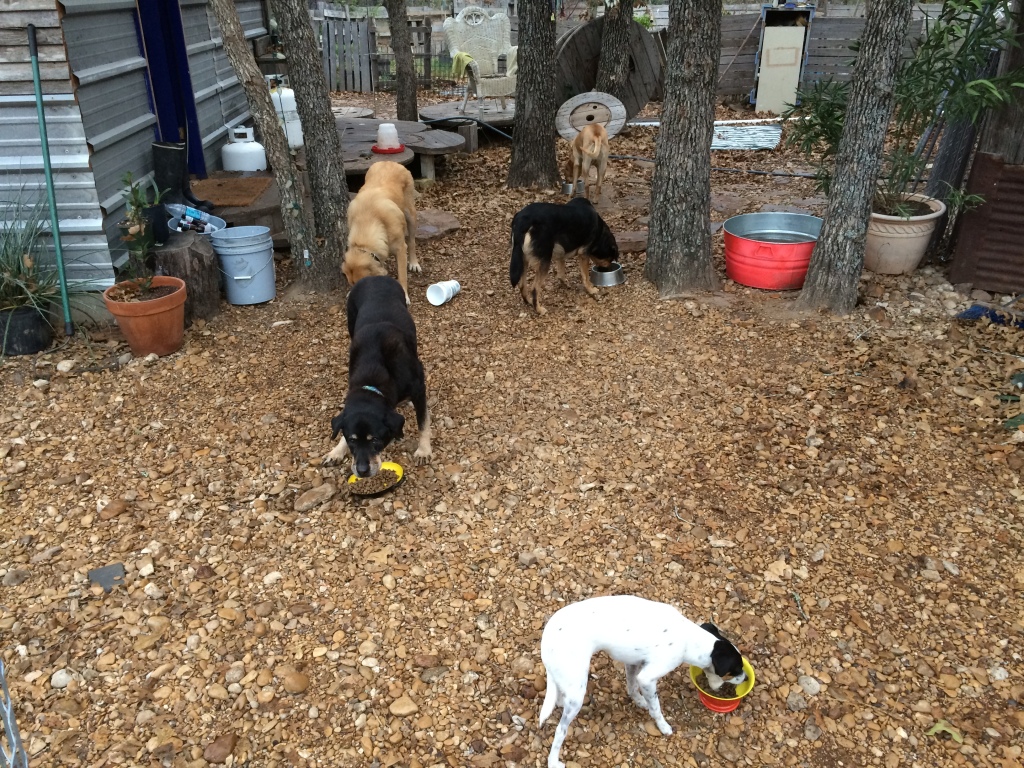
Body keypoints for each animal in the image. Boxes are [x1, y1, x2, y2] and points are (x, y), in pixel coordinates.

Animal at [321, 276, 430, 479]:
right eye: (352, 441)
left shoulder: (419, 387)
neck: (372, 382)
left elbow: (423, 422)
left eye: (376, 440)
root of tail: (375, 276)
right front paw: (337, 451)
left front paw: (424, 450)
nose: (362, 471)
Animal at [342, 161, 417, 303]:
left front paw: (404, 295)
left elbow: (402, 275)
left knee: (411, 240)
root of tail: (389, 161)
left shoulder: (400, 248)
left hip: (410, 215)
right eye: (352, 284)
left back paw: (414, 263)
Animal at [540, 593, 749, 768]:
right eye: (734, 670)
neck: (690, 639)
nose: (746, 677)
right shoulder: (648, 678)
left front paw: (640, 701)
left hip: (569, 679)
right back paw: (553, 762)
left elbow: (632, 687)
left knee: (559, 698)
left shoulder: (634, 664)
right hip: (577, 695)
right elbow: (656, 708)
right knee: (560, 730)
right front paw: (663, 726)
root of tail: (547, 635)